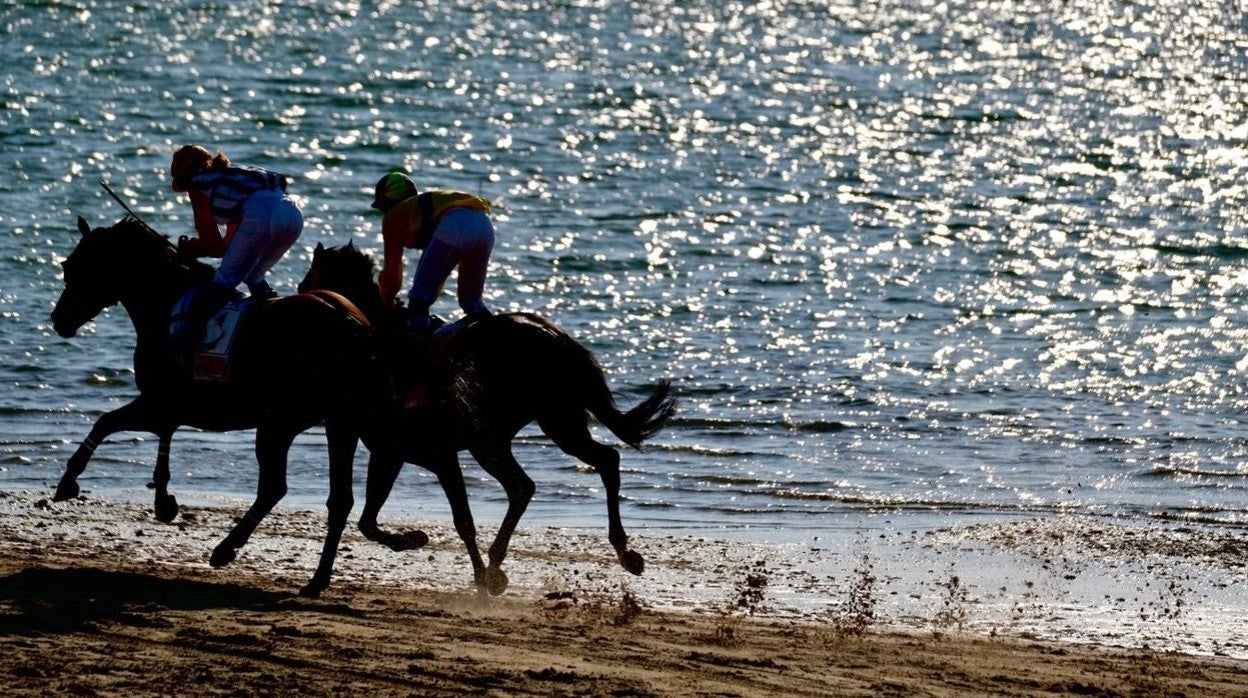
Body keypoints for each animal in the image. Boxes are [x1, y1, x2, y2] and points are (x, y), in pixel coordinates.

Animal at [49, 216, 379, 599]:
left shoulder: (157, 401)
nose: (58, 319)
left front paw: (68, 482)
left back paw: (225, 549)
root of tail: (352, 324)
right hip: (339, 422)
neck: (163, 300)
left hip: (279, 422)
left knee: (274, 487)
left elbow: (105, 422)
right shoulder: (168, 407)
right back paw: (317, 579)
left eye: (73, 266)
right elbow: (160, 437)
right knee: (338, 499)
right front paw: (164, 500)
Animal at [298, 242, 678, 594]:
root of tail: (557, 338)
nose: (299, 291)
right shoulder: (399, 452)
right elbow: (387, 517)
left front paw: (476, 573)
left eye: (310, 276)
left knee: (525, 485)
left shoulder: (421, 452)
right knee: (602, 461)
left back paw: (502, 562)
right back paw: (625, 553)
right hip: (556, 422)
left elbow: (452, 519)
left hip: (496, 437)